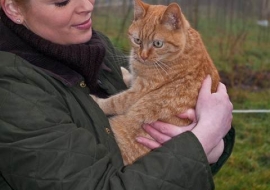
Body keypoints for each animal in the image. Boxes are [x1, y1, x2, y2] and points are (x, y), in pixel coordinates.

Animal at [92, 0, 220, 165]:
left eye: (158, 44)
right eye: (137, 40)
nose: (143, 56)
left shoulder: (138, 91)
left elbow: (114, 102)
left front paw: (96, 101)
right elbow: (130, 77)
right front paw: (125, 71)